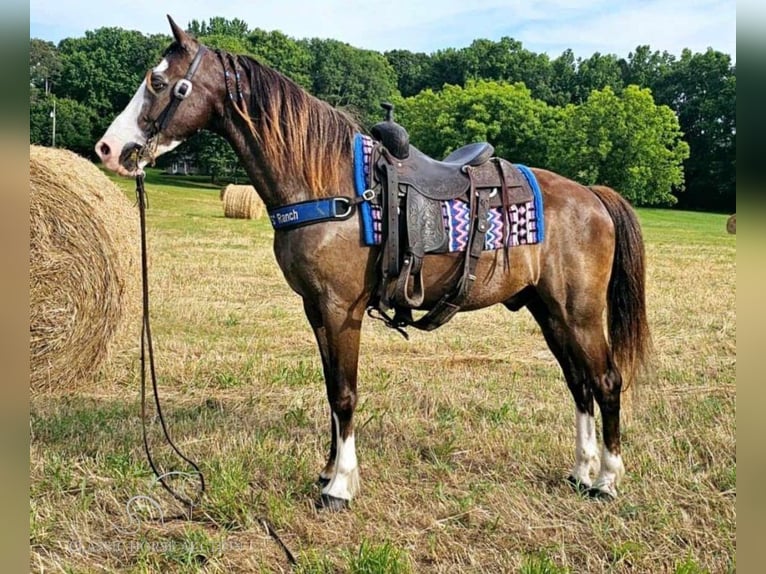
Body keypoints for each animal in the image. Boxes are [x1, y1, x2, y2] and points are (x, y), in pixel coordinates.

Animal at [93, 16, 652, 512]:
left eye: (159, 82)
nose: (108, 148)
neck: (328, 182)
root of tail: (593, 196)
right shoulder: (316, 310)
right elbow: (329, 391)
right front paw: (326, 471)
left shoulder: (342, 310)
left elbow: (344, 393)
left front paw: (340, 486)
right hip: (549, 310)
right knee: (579, 384)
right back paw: (580, 472)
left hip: (579, 313)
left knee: (606, 381)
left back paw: (606, 479)